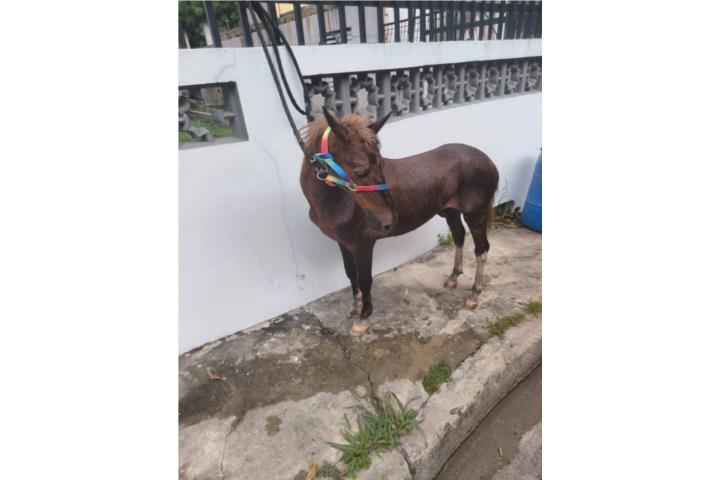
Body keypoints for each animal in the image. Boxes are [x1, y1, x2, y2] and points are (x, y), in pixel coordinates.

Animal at [300, 107, 499, 335]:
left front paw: (363, 318)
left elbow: (365, 279)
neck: (336, 201)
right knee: (458, 237)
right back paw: (453, 278)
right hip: (451, 212)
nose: (388, 221)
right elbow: (350, 273)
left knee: (481, 250)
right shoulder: (343, 242)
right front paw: (355, 306)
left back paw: (474, 295)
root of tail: (487, 160)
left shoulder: (363, 245)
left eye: (381, 163)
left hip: (476, 215)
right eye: (360, 171)